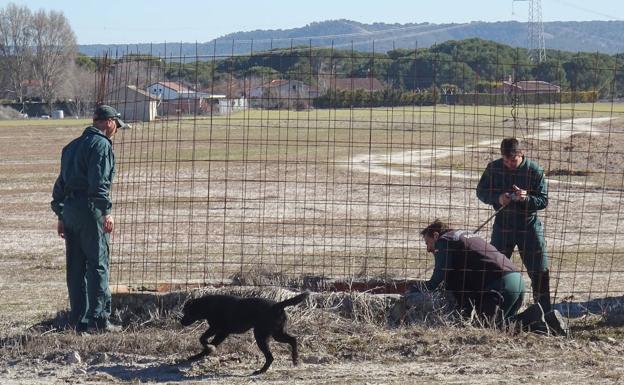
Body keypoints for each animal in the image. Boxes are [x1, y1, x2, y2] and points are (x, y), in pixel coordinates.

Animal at [179, 290, 308, 374]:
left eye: (187, 311)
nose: (181, 321)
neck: (207, 305)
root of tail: (277, 305)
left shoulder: (218, 329)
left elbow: (202, 339)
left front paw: (209, 348)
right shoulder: (223, 332)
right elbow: (208, 343)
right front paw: (200, 355)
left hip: (261, 336)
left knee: (270, 357)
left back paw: (261, 371)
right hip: (277, 334)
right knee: (293, 340)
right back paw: (295, 359)